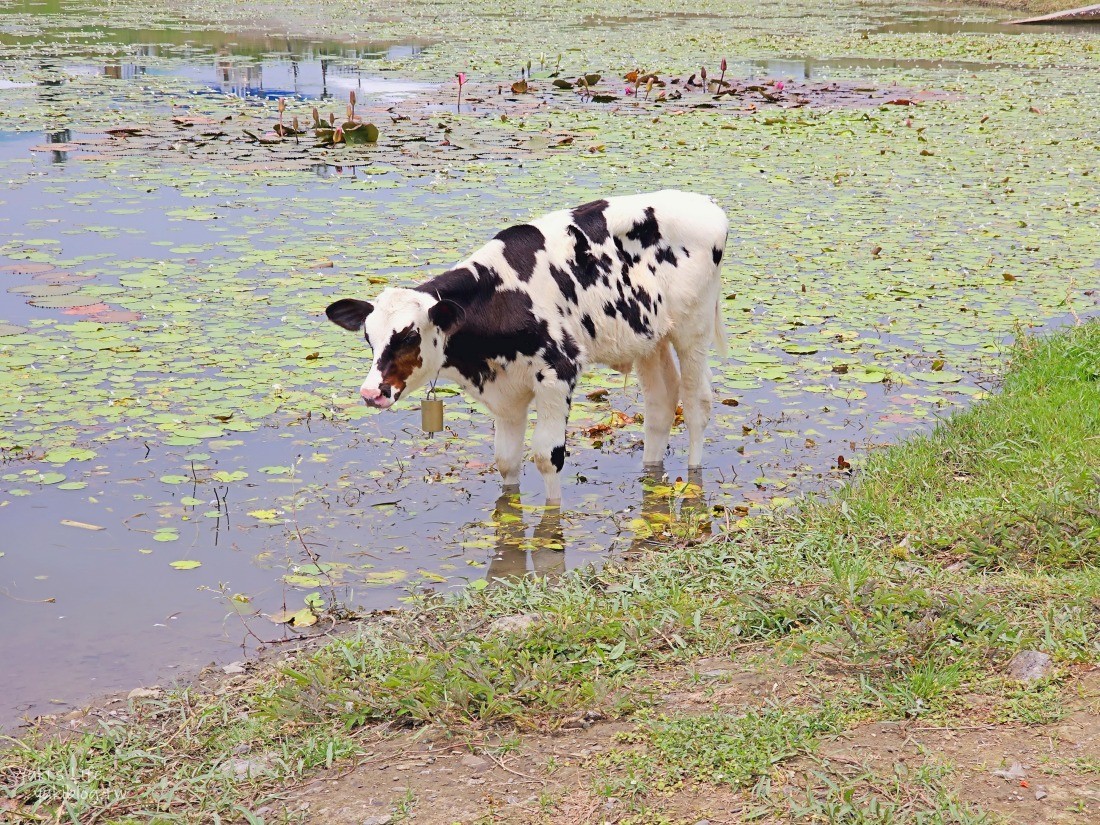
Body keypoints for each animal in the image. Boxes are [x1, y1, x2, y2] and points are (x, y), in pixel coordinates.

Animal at [321, 192, 726, 503]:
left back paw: (693, 478)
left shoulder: (559, 371)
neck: (501, 297)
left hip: (693, 329)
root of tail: (705, 204)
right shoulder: (506, 393)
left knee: (696, 403)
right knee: (660, 403)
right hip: (649, 337)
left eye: (408, 336)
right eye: (369, 337)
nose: (371, 392)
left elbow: (548, 457)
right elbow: (506, 460)